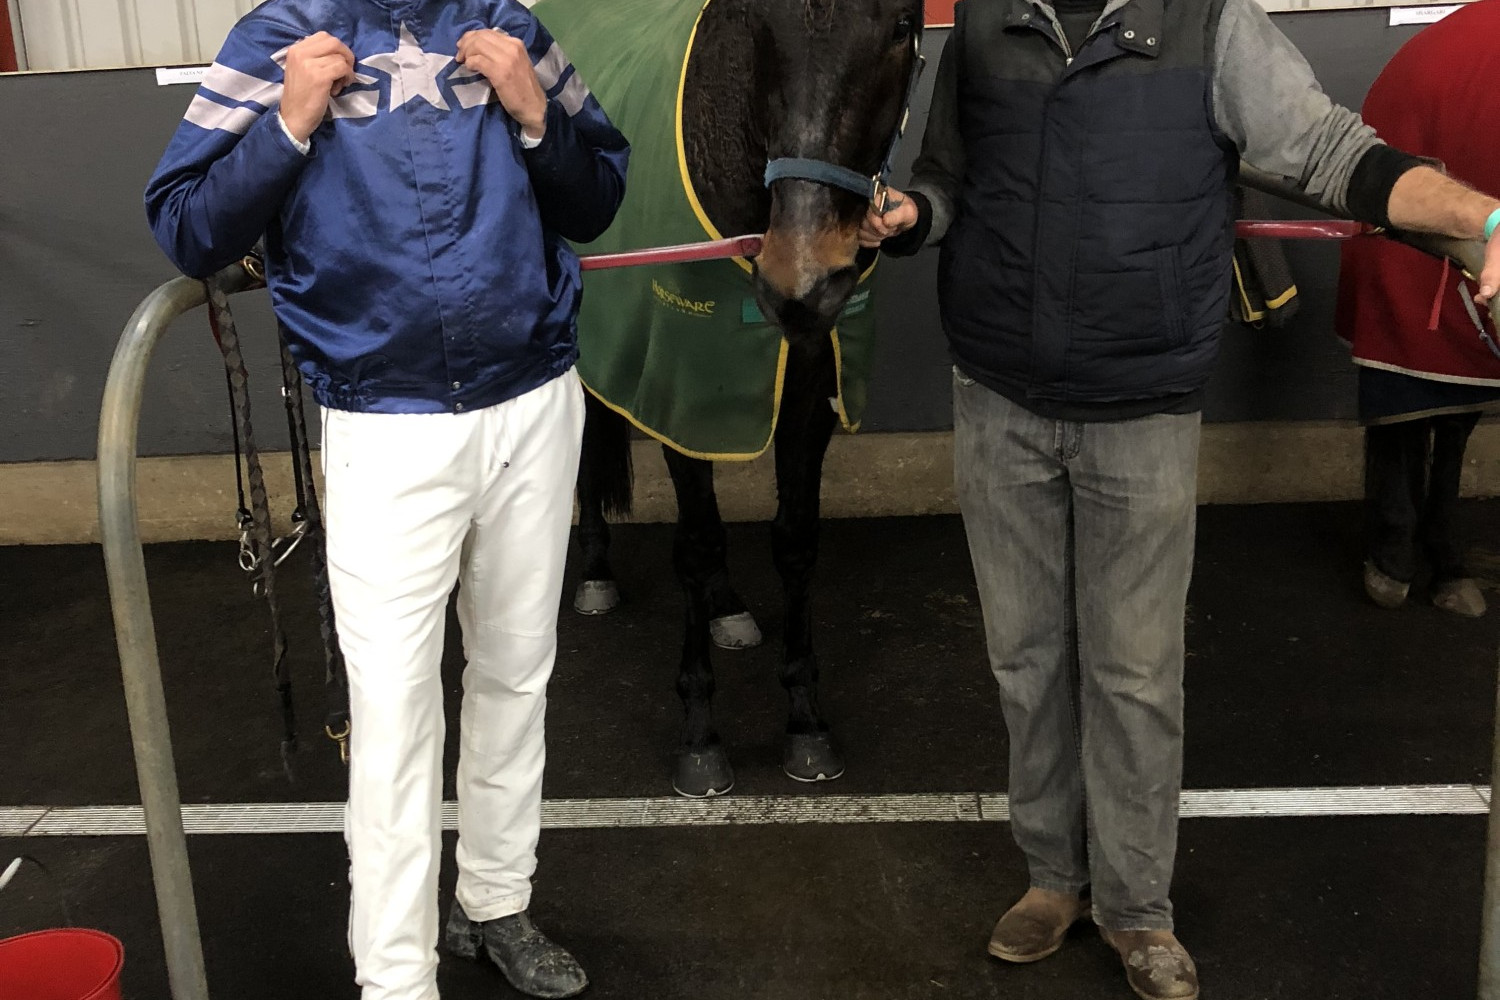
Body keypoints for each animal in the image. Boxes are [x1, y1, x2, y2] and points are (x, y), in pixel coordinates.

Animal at [561, 0, 918, 797]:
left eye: (902, 29)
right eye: (758, 21)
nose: (803, 280)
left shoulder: (808, 384)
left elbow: (796, 540)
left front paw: (806, 720)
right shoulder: (678, 377)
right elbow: (695, 543)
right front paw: (700, 733)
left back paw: (727, 606)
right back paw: (596, 568)